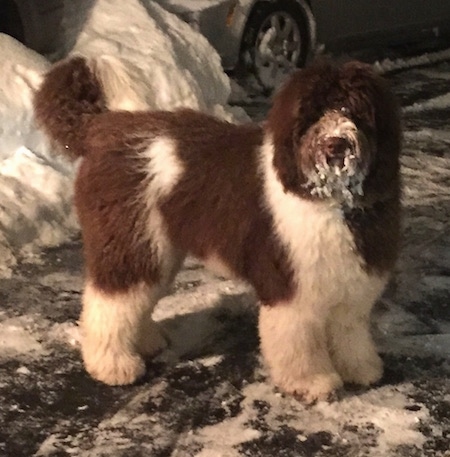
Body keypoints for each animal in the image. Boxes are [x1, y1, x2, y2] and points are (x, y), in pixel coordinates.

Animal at [34, 55, 400, 400]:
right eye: (313, 114)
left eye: (354, 110)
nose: (336, 144)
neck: (330, 200)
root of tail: (102, 125)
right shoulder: (290, 287)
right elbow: (300, 342)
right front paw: (312, 382)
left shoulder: (351, 285)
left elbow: (350, 332)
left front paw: (361, 368)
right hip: (128, 243)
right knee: (109, 303)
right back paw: (112, 365)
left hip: (156, 248)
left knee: (136, 299)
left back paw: (146, 341)